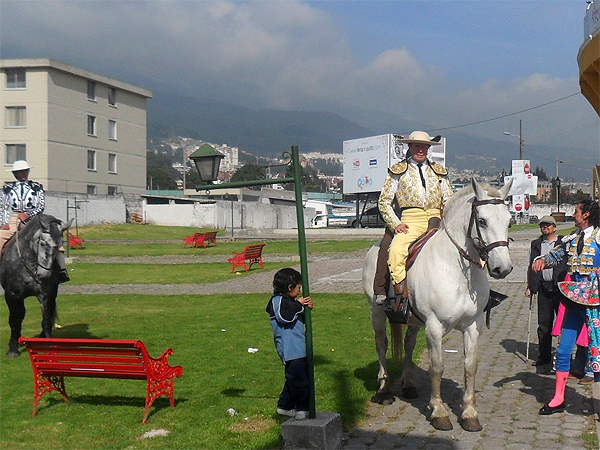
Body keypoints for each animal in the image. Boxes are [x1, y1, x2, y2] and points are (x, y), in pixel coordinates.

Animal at [1, 214, 72, 358]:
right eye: (42, 243)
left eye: (60, 245)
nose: (44, 274)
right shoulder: (12, 295)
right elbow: (14, 320)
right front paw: (13, 349)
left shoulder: (45, 295)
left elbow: (46, 320)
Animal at [364, 179, 512, 432]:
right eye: (482, 220)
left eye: (509, 220)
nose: (503, 268)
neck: (456, 269)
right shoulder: (434, 327)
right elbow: (437, 367)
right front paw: (438, 411)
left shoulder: (472, 326)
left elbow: (470, 366)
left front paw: (470, 413)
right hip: (376, 312)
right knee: (381, 344)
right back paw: (384, 389)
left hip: (413, 319)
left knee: (409, 344)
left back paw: (409, 384)